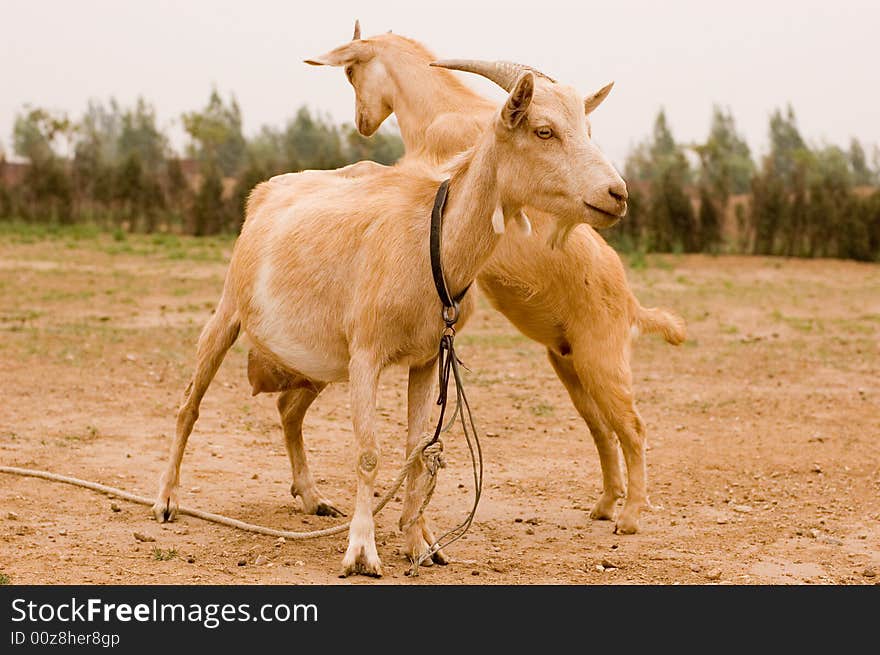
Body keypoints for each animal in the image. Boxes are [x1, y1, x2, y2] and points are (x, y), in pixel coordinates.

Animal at [156, 69, 624, 576]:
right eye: (544, 131)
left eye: (588, 129)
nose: (618, 195)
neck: (431, 240)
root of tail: (263, 192)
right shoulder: (366, 354)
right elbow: (368, 453)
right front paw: (362, 552)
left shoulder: (427, 358)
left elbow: (416, 451)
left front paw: (422, 543)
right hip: (228, 311)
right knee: (189, 404)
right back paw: (167, 500)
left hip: (320, 359)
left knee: (288, 411)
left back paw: (313, 498)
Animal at [302, 25, 688, 540]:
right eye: (547, 129)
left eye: (349, 71)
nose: (617, 194)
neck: (437, 108)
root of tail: (631, 305)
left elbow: (380, 174)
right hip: (571, 364)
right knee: (602, 428)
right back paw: (606, 504)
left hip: (604, 358)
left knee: (634, 427)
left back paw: (629, 517)